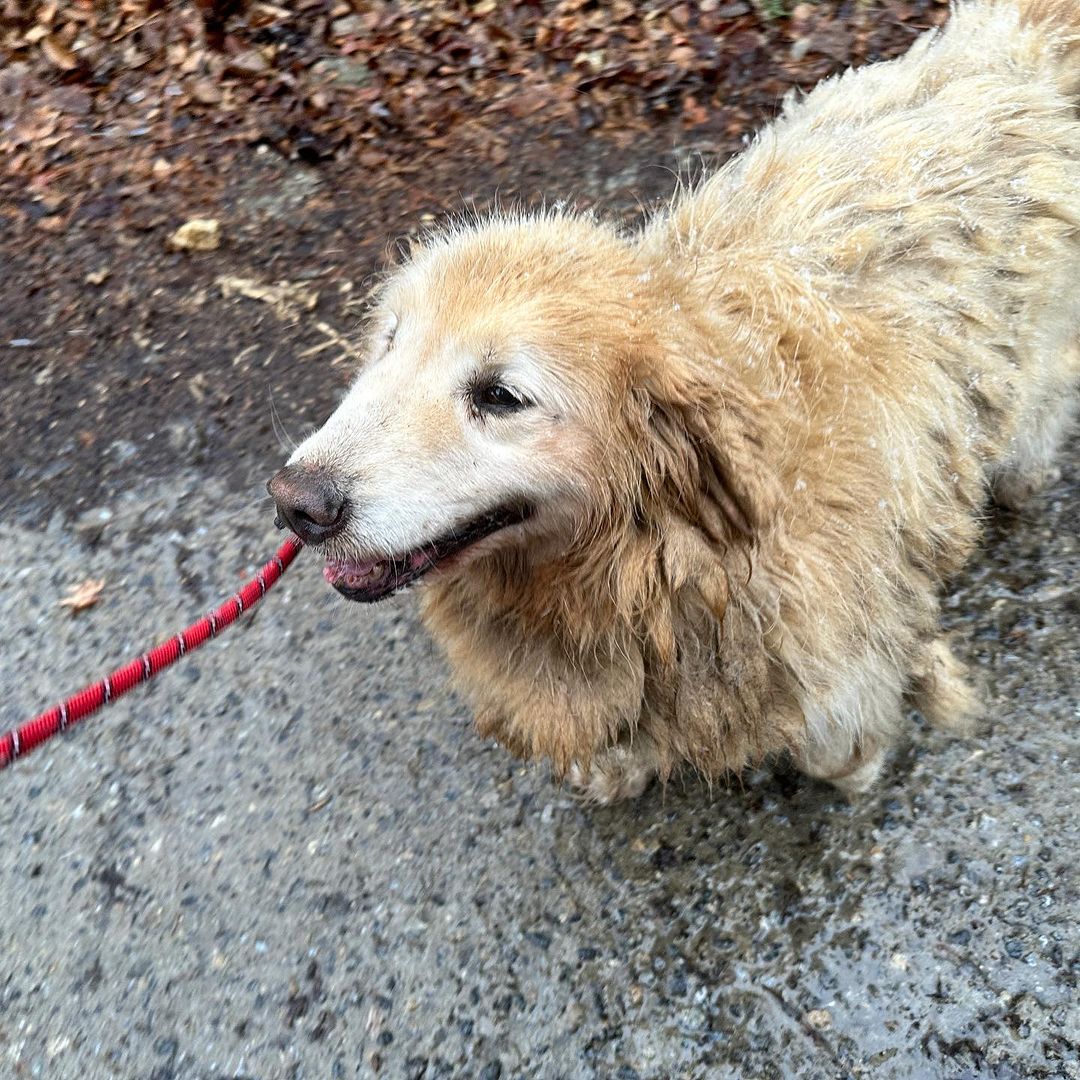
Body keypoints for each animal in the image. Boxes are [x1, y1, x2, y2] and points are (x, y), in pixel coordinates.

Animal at [265, 0, 1075, 803]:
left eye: (500, 395)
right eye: (390, 344)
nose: (295, 503)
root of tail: (1020, 42)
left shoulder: (839, 651)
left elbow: (838, 743)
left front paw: (860, 763)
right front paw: (614, 769)